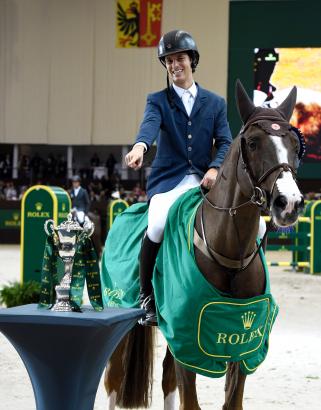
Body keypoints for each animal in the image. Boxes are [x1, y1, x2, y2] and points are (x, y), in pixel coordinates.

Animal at [104, 81, 302, 410]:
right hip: (121, 314)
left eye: (295, 144)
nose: (289, 203)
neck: (230, 252)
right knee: (114, 380)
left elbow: (231, 401)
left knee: (166, 380)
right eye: (252, 143)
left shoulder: (240, 344)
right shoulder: (190, 339)